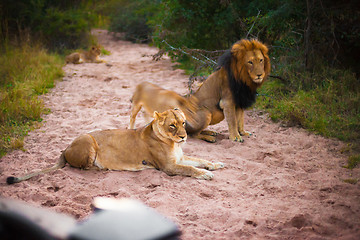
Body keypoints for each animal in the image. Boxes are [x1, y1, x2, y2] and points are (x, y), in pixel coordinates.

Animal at [7, 109, 224, 184]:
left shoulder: (179, 158)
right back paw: (101, 168)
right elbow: (190, 169)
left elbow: (200, 160)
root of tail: (66, 147)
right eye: (172, 125)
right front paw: (205, 174)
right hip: (88, 140)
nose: (184, 136)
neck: (172, 143)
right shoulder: (169, 167)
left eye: (183, 123)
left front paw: (216, 164)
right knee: (83, 167)